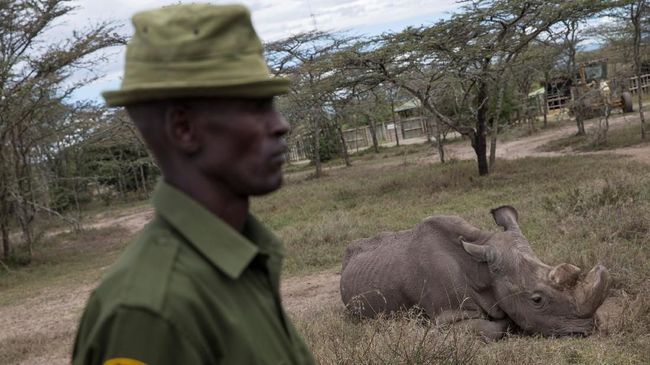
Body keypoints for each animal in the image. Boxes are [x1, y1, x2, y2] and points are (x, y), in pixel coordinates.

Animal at [340, 206, 608, 336]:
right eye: (537, 300)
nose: (586, 330)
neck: (482, 270)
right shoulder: (447, 317)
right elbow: (494, 327)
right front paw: (507, 323)